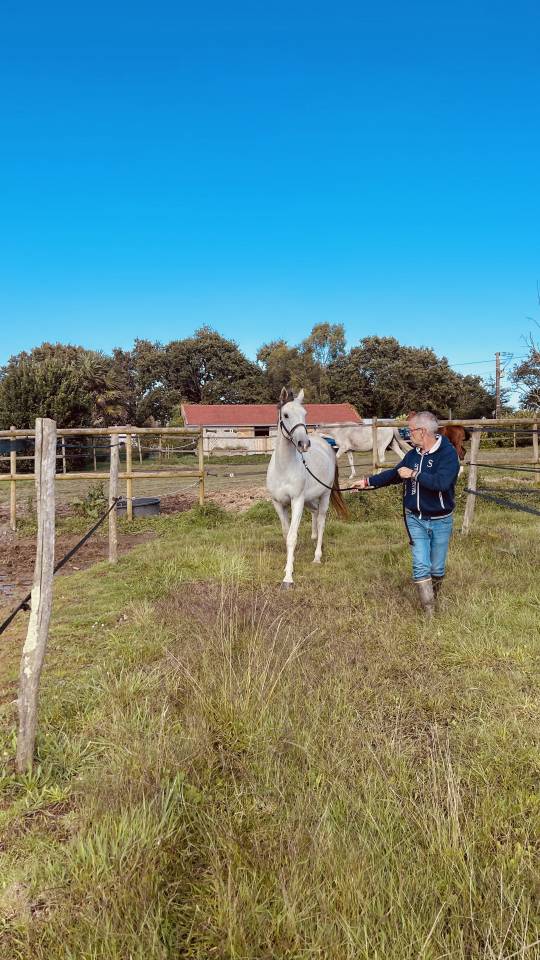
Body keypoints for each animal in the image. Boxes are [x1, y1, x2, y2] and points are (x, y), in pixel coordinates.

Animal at [267, 388, 348, 587]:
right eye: (286, 415)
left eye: (305, 414)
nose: (304, 444)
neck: (283, 467)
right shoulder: (278, 503)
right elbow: (286, 533)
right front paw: (289, 566)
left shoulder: (297, 501)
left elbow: (292, 537)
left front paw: (288, 578)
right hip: (310, 500)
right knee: (315, 513)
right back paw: (314, 538)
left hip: (324, 495)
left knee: (321, 520)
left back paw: (317, 556)